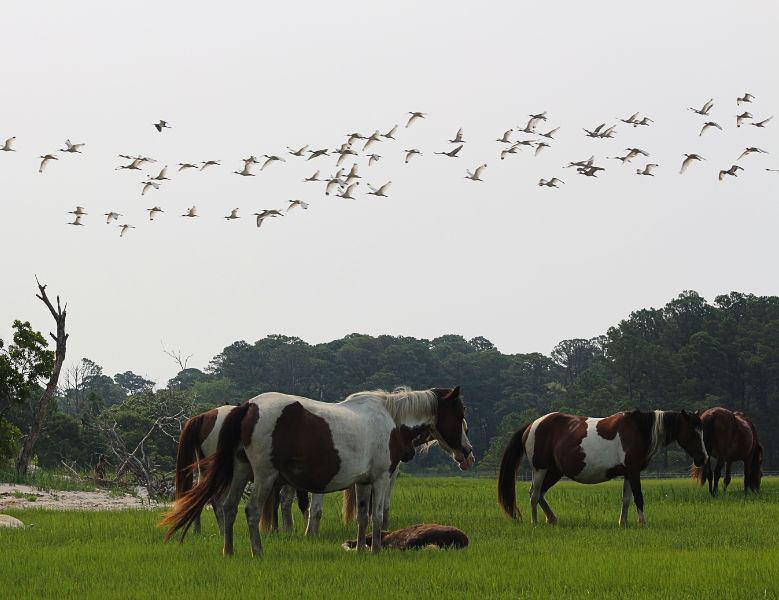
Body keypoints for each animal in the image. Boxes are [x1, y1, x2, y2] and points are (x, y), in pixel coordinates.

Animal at [161, 386, 473, 556]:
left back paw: (229, 550)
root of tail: (249, 406)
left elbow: (362, 517)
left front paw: (362, 550)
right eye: (459, 415)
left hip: (240, 473)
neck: (390, 419)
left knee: (227, 508)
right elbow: (377, 516)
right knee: (250, 510)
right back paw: (257, 551)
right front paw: (375, 549)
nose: (467, 454)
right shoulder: (382, 478)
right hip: (264, 475)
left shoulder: (363, 482)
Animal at [498, 409, 707, 527]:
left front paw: (623, 523)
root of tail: (532, 424)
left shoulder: (628, 473)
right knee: (534, 494)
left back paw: (552, 519)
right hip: (540, 469)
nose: (703, 458)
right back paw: (534, 522)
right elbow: (638, 498)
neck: (638, 430)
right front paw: (642, 522)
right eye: (693, 432)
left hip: (555, 471)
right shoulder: (634, 471)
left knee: (539, 493)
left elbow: (626, 500)